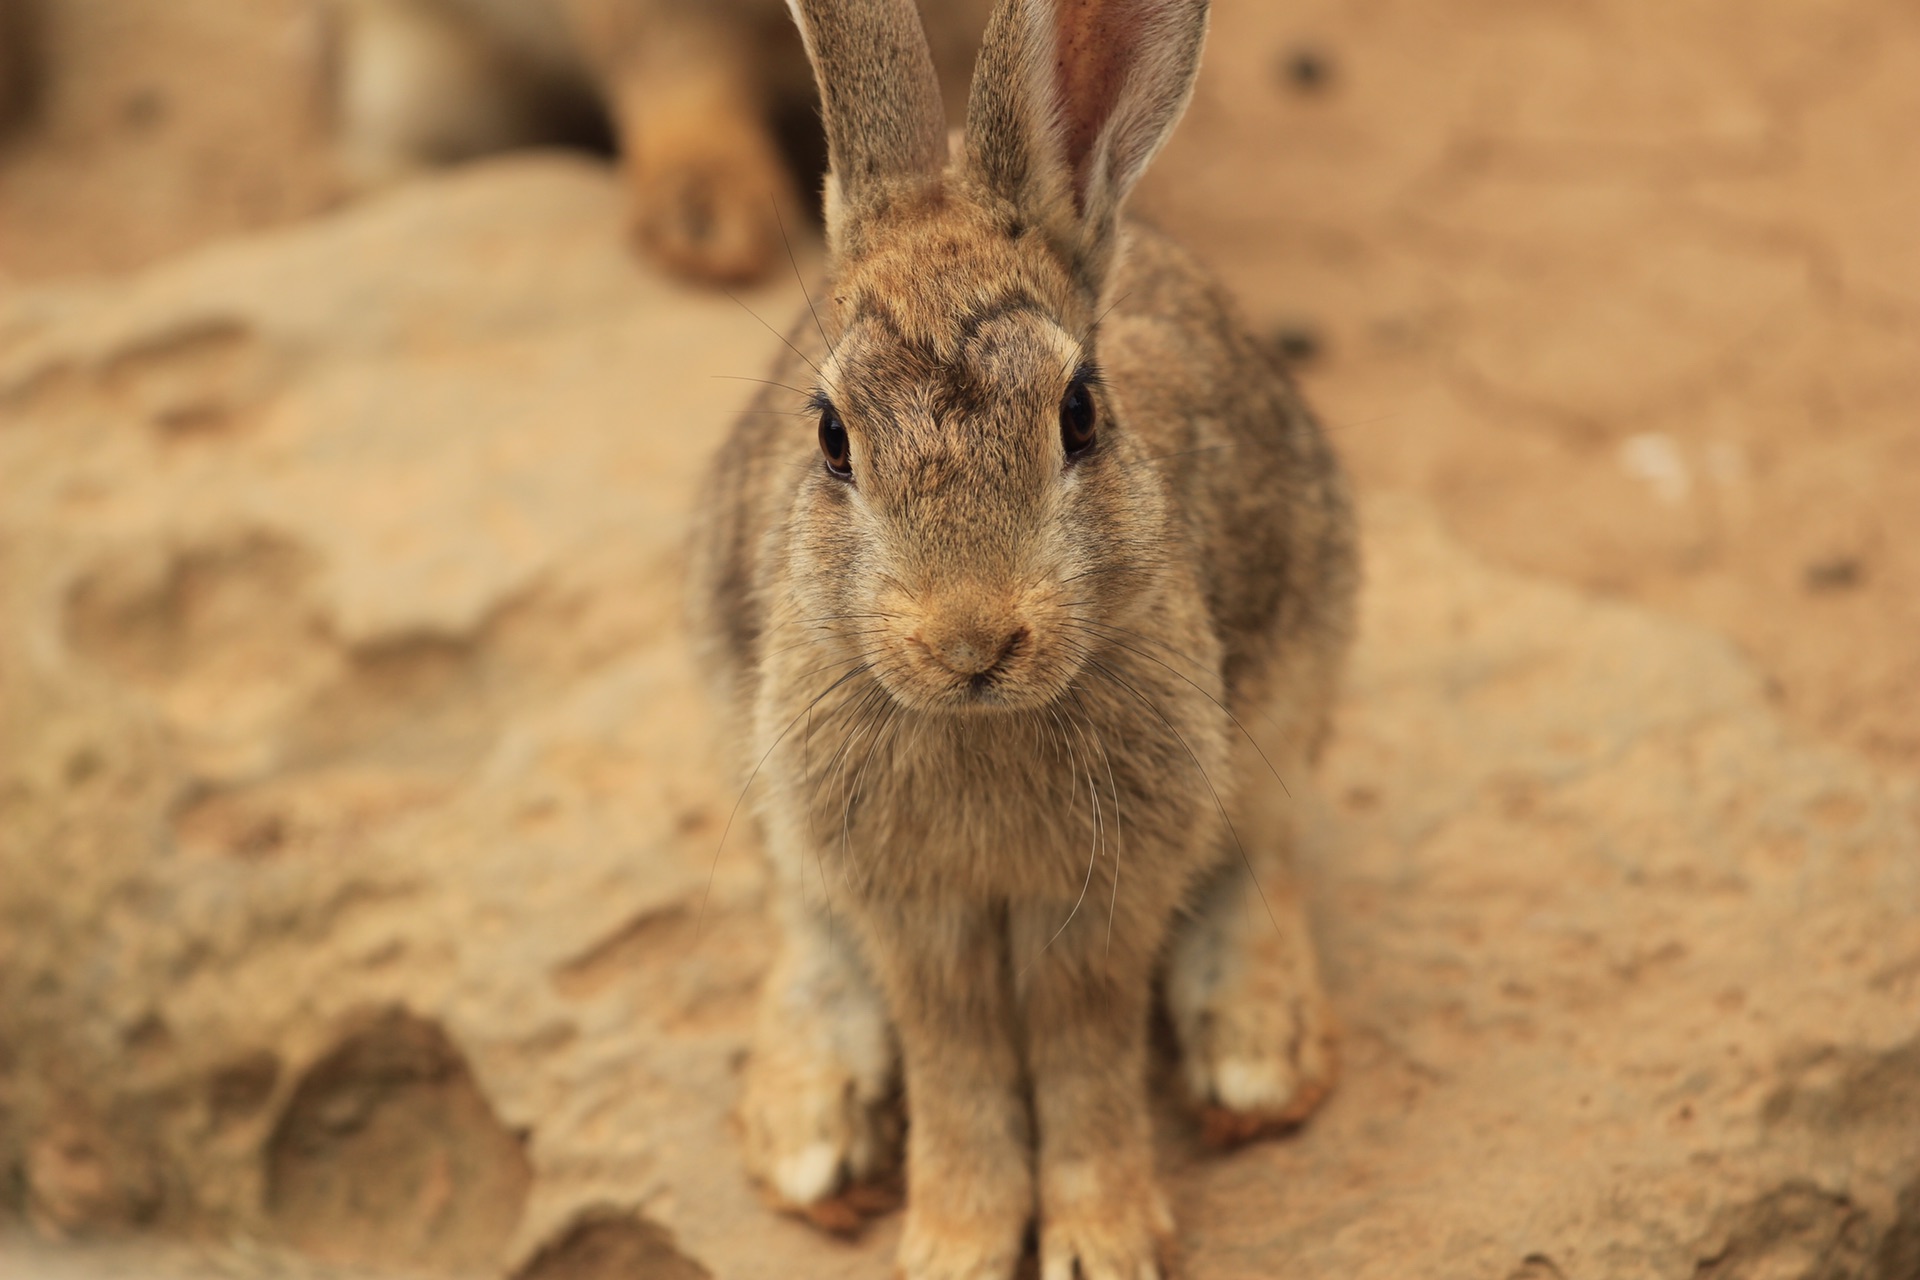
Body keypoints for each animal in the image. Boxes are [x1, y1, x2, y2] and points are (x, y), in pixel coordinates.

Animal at [691, 2, 1351, 1274]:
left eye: (1079, 411)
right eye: (832, 435)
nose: (971, 638)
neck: (981, 723)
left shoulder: (1103, 900)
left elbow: (1082, 1055)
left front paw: (1101, 1239)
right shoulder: (913, 908)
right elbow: (959, 1059)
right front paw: (958, 1241)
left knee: (1269, 847)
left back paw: (1258, 1054)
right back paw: (811, 1124)